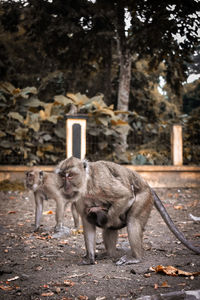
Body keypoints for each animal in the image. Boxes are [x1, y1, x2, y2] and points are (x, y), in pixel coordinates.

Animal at [55, 157, 200, 264]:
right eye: (62, 176)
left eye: (70, 176)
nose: (66, 186)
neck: (86, 183)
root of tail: (147, 185)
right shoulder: (79, 198)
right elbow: (88, 223)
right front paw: (90, 257)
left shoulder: (101, 182)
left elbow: (125, 195)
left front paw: (106, 219)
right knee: (111, 228)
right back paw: (109, 253)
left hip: (145, 197)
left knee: (133, 221)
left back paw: (135, 258)